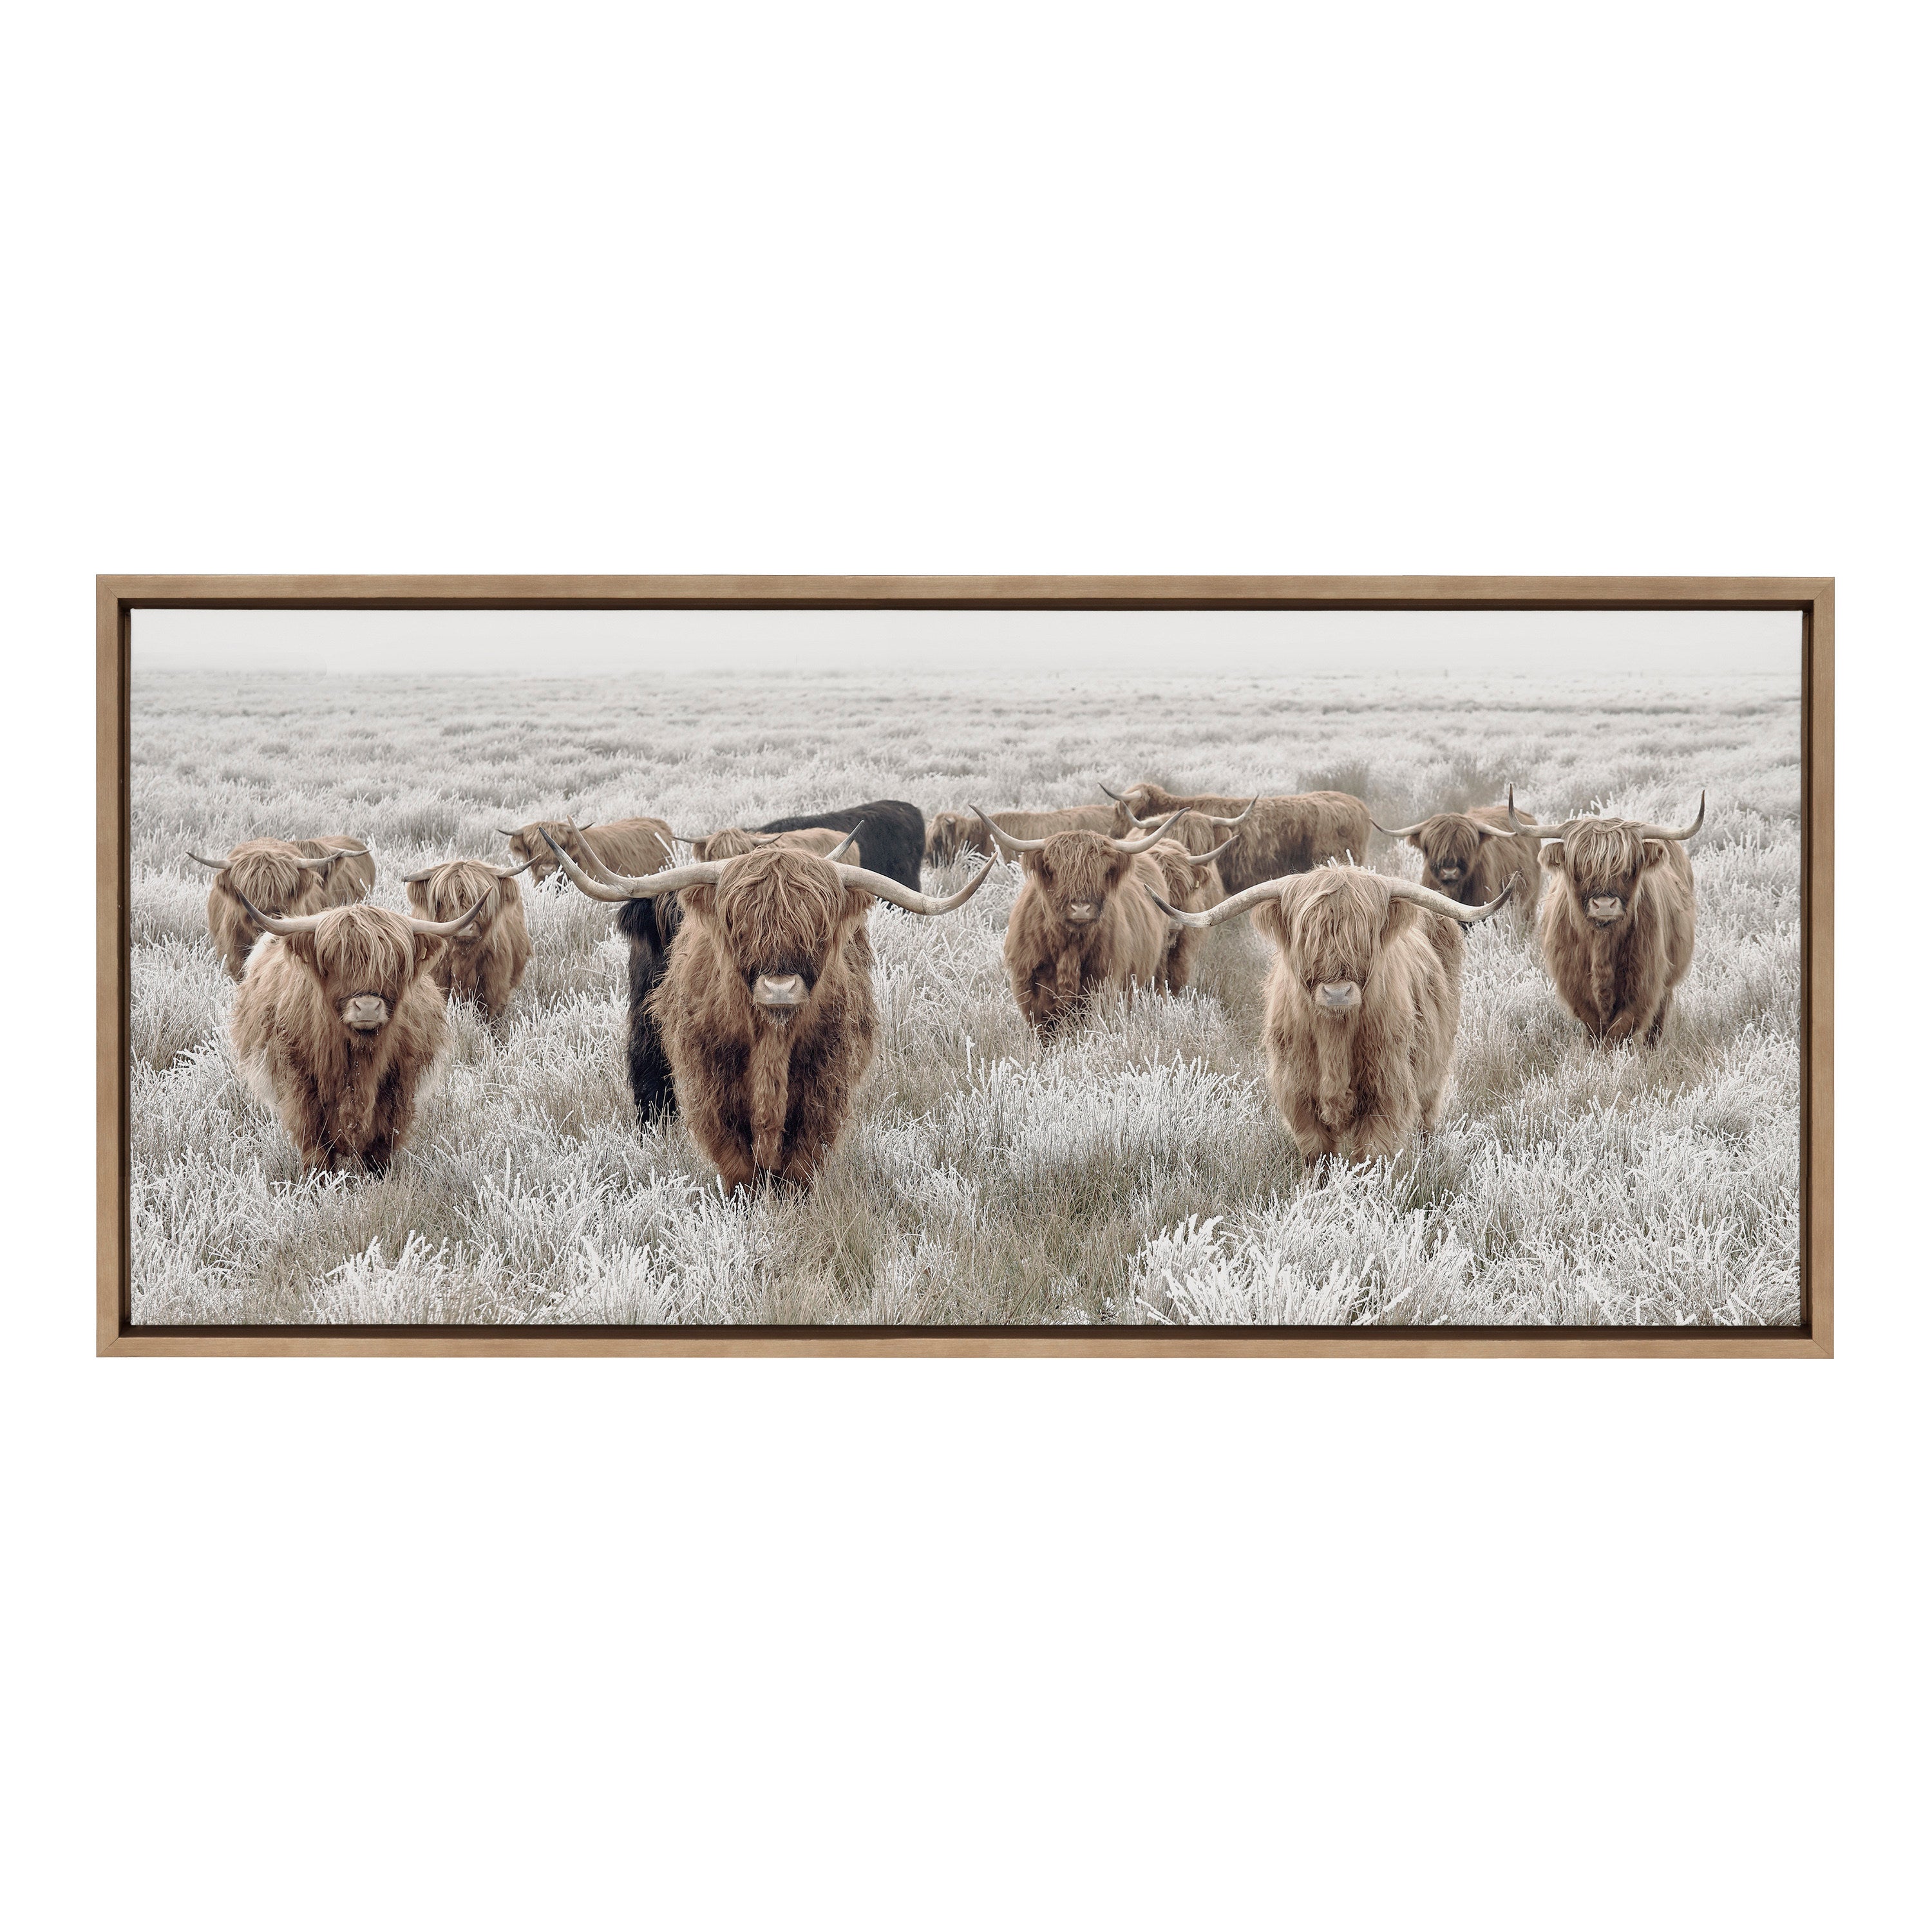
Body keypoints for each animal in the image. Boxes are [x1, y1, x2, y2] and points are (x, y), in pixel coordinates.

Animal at [228, 893, 489, 1173]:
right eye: (335, 960)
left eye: (394, 963)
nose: (368, 1007)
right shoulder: (301, 1083)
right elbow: (314, 1142)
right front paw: (319, 1179)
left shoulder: (398, 1084)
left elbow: (382, 1141)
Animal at [542, 829, 994, 1192]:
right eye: (738, 926)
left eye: (818, 928)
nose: (780, 989)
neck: (771, 1040)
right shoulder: (712, 1082)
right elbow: (735, 1156)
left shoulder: (825, 1081)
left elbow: (802, 1156)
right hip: (645, 1030)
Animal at [972, 805, 1200, 1036]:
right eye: (1055, 869)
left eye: (1102, 870)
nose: (1080, 908)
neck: (1069, 947)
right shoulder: (1033, 993)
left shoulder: (1103, 986)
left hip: (1157, 966)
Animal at [1148, 864, 1514, 1165]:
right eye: (1307, 935)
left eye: (1365, 935)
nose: (1337, 993)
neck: (1334, 1037)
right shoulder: (1297, 1095)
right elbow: (1318, 1157)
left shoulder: (1387, 1091)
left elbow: (1371, 1158)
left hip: (1434, 1073)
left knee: (1427, 1118)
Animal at [1509, 787, 1704, 1045]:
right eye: (1579, 867)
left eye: (1628, 867)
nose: (1604, 905)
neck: (1601, 944)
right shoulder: (1575, 987)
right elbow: (1595, 1030)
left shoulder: (1644, 984)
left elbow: (1619, 1031)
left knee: (1657, 1023)